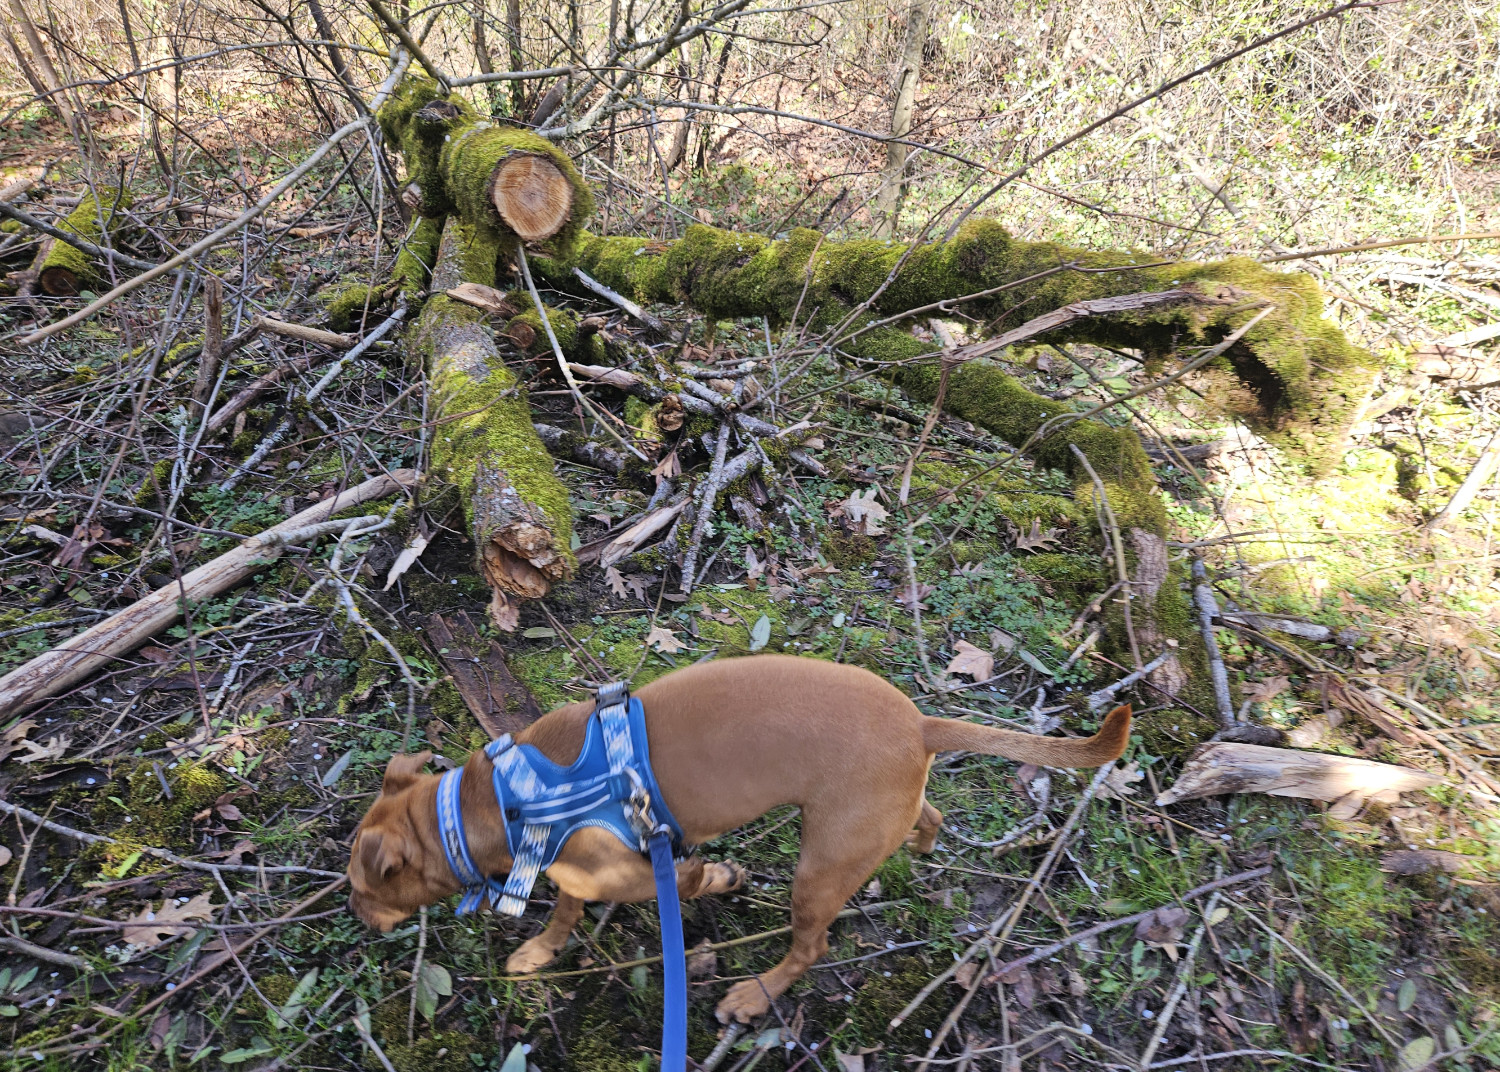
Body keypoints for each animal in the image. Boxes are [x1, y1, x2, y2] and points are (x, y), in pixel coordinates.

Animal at [351, 653, 1128, 1025]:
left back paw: (755, 995)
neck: (505, 799)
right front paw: (542, 950)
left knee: (810, 948)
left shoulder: (636, 868)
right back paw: (922, 846)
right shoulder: (576, 869)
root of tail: (920, 723)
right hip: (880, 812)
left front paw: (717, 879)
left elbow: (684, 878)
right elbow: (566, 910)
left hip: (818, 869)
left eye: (363, 887)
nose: (357, 918)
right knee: (926, 817)